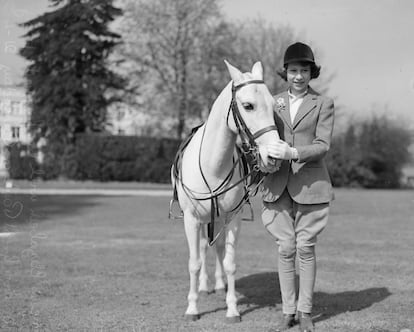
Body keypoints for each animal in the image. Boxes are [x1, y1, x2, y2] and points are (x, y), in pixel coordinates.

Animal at [170, 61, 280, 322]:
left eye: (273, 106)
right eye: (248, 105)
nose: (272, 156)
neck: (213, 166)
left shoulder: (232, 218)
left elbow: (229, 262)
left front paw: (232, 309)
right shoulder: (191, 219)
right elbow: (194, 262)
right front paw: (192, 308)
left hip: (218, 219)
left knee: (218, 248)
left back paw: (219, 285)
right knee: (202, 248)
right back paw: (204, 286)